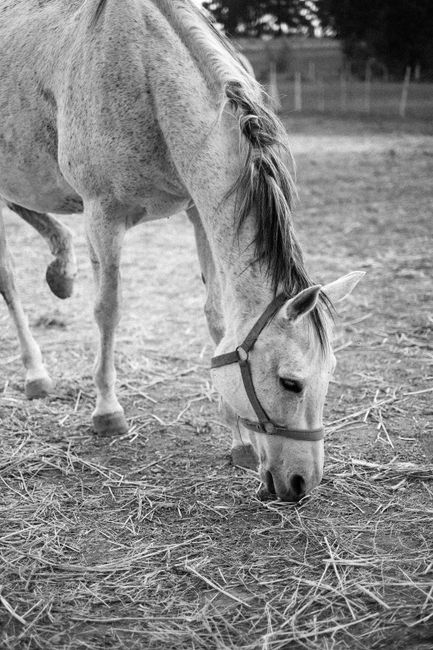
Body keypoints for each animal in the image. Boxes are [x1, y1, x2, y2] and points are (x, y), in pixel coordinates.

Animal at [0, 0, 364, 502]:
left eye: (330, 373)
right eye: (290, 383)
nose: (301, 483)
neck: (147, 75)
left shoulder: (199, 211)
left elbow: (216, 318)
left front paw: (239, 441)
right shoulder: (103, 214)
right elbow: (108, 311)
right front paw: (107, 412)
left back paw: (62, 268)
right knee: (9, 280)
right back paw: (36, 371)